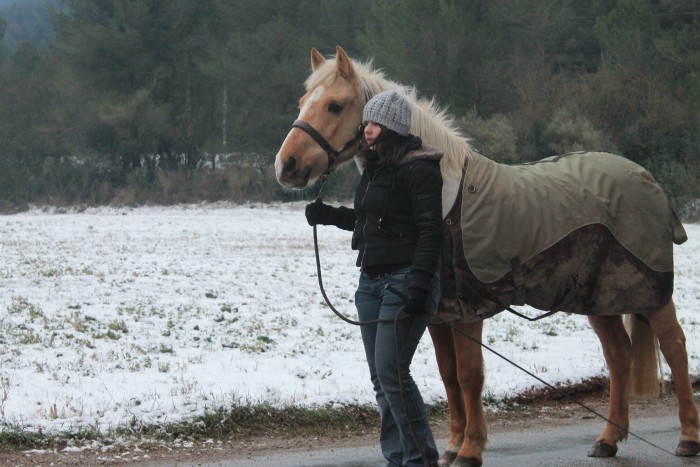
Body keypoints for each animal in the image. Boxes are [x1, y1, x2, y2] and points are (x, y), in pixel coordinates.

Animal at [274, 45, 700, 466]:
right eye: (302, 103)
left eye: (334, 105)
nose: (286, 166)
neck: (445, 195)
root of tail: (648, 180)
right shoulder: (437, 314)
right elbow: (448, 376)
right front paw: (451, 445)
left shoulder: (467, 310)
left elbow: (469, 376)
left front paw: (470, 449)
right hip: (599, 298)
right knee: (619, 356)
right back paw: (609, 440)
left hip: (651, 294)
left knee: (675, 349)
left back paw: (687, 438)